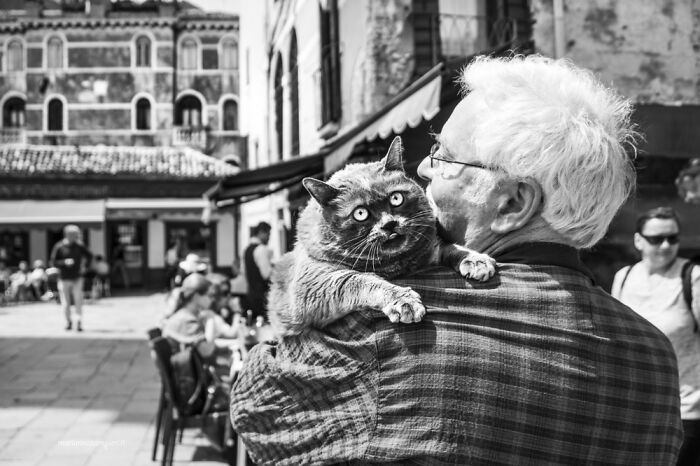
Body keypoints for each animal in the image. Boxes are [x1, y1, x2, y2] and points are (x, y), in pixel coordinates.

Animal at [266, 137, 492, 336]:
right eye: (360, 213)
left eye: (396, 198)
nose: (389, 224)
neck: (395, 263)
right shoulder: (313, 282)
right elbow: (360, 279)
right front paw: (404, 301)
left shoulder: (428, 250)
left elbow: (450, 246)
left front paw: (476, 261)